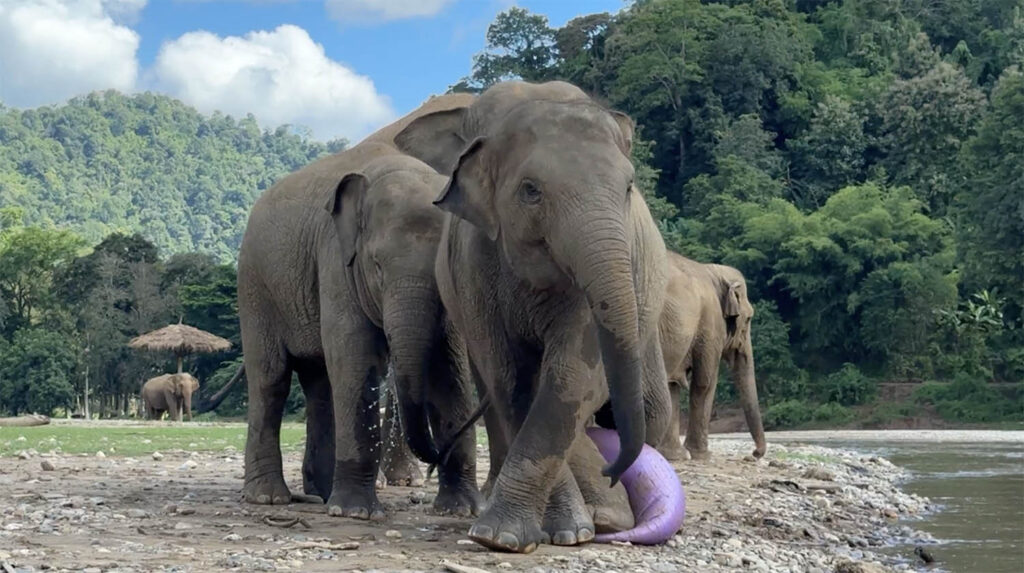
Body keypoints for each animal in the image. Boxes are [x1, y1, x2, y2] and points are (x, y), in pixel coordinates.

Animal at [237, 124, 481, 520]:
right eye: (377, 265)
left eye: (440, 265)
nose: (431, 464)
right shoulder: (336, 258)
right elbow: (356, 356)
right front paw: (357, 512)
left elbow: (450, 367)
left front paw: (462, 510)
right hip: (255, 288)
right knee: (270, 379)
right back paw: (269, 498)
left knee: (319, 385)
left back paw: (322, 495)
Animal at [393, 80, 672, 553]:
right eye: (530, 190)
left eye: (629, 187)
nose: (613, 471)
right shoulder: (472, 264)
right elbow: (512, 378)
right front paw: (509, 537)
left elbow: (569, 375)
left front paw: (566, 530)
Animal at [655, 251, 767, 461]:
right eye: (748, 319)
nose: (754, 454)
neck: (714, 271)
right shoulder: (711, 324)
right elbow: (705, 381)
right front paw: (702, 455)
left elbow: (672, 385)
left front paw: (675, 456)